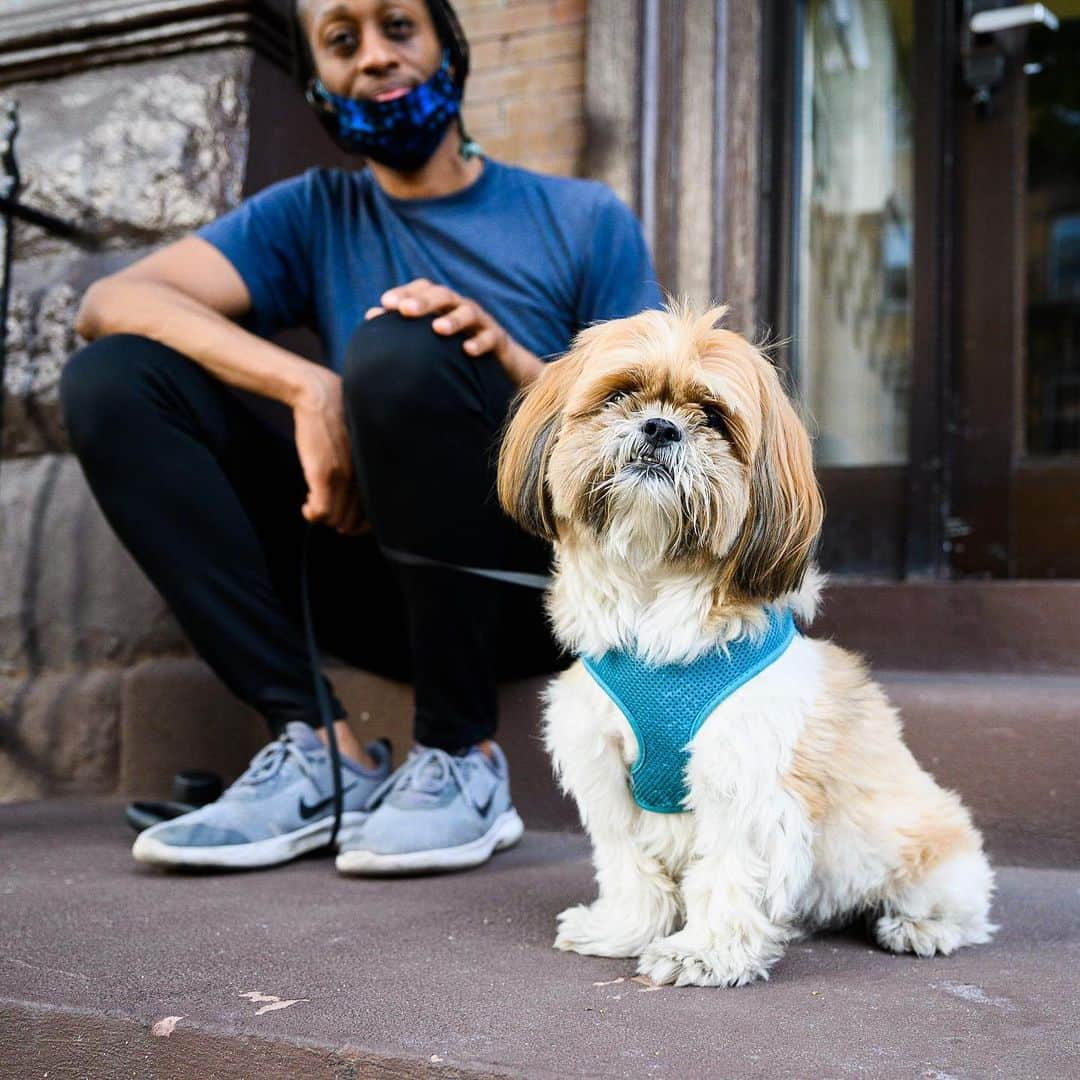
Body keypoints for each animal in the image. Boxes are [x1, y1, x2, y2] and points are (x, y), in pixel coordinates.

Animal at [496, 302, 993, 989]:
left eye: (711, 416)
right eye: (621, 394)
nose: (660, 426)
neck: (655, 612)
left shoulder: (746, 774)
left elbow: (729, 869)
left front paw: (704, 951)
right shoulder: (603, 765)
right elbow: (628, 863)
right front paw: (624, 928)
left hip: (925, 841)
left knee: (955, 900)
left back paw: (920, 926)